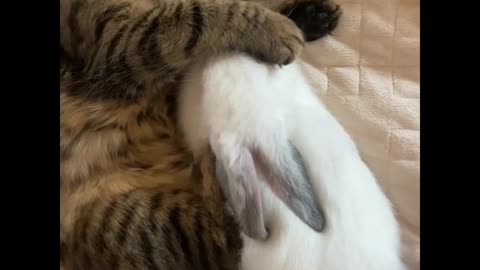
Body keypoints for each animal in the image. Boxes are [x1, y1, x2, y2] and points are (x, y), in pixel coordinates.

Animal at [61, 0, 342, 268]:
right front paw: (275, 27)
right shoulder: (112, 45)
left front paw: (307, 16)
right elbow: (194, 15)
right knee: (226, 238)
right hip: (128, 224)